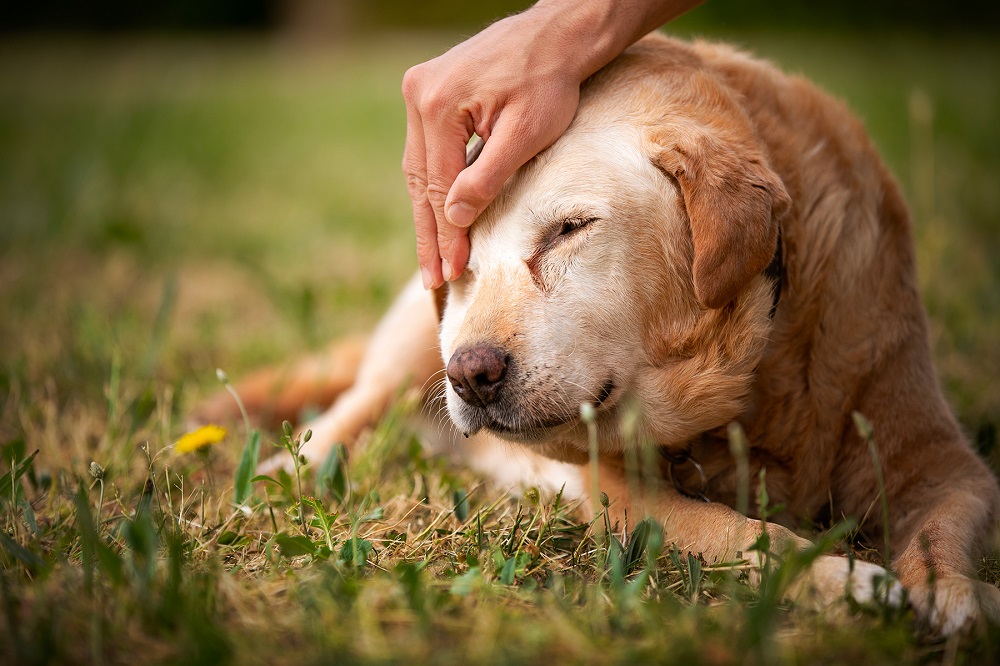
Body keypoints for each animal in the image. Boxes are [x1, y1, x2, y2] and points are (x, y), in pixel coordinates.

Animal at [195, 35, 1000, 632]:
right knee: (349, 410)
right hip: (408, 348)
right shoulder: (623, 493)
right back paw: (282, 474)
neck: (753, 372)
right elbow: (745, 533)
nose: (470, 376)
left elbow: (945, 526)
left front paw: (952, 592)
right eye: (462, 268)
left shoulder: (939, 461)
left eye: (568, 230)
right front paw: (849, 579)